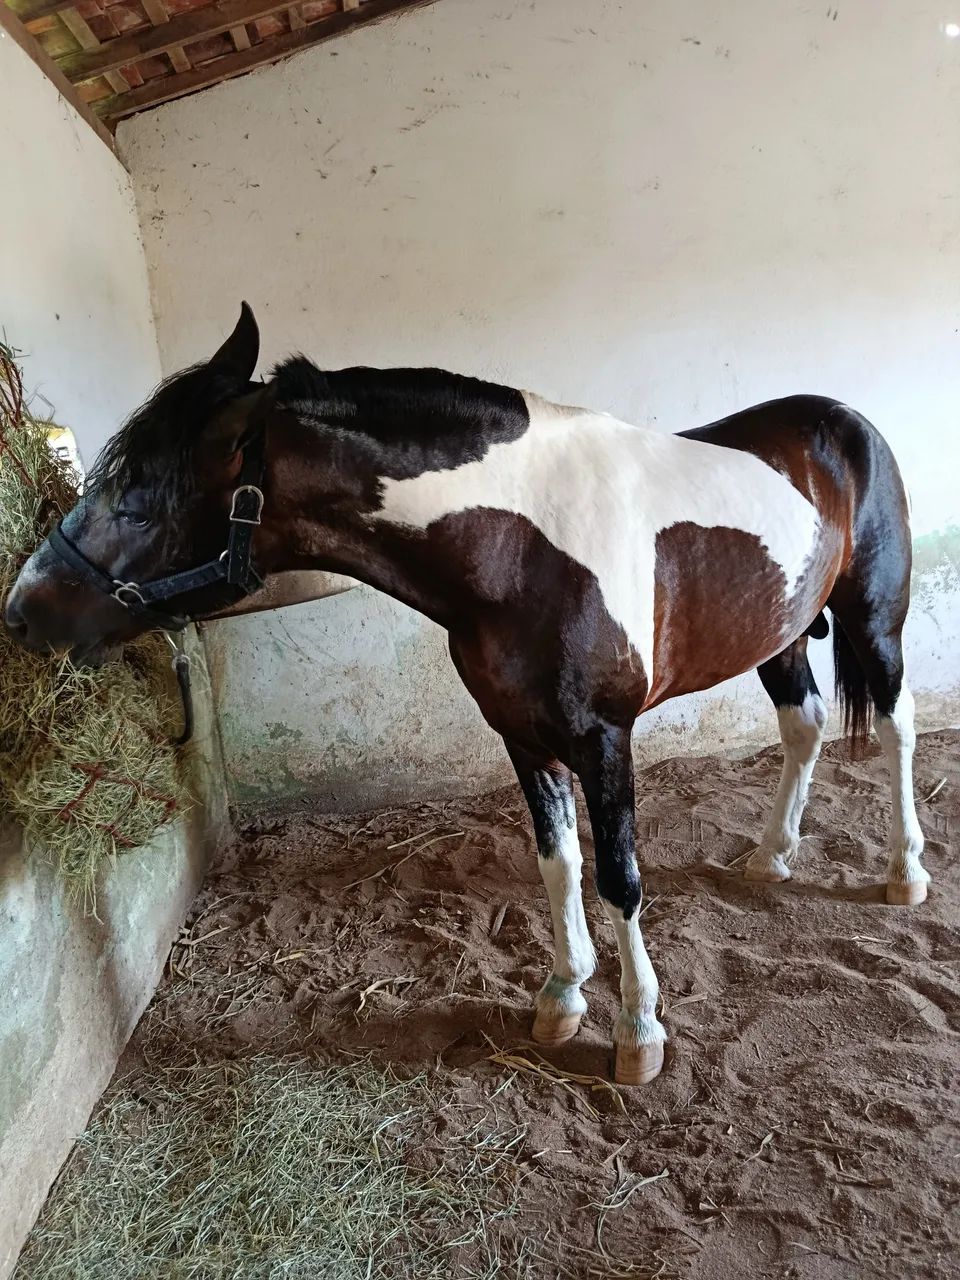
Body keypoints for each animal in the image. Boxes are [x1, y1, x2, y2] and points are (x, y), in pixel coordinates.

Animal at [4, 304, 928, 1086]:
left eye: (136, 499)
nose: (21, 610)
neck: (521, 547)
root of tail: (844, 422)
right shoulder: (522, 734)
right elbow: (558, 862)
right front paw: (562, 997)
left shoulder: (605, 737)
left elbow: (620, 878)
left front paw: (639, 1033)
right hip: (777, 637)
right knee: (805, 728)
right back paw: (772, 855)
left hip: (874, 621)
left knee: (894, 727)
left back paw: (903, 871)